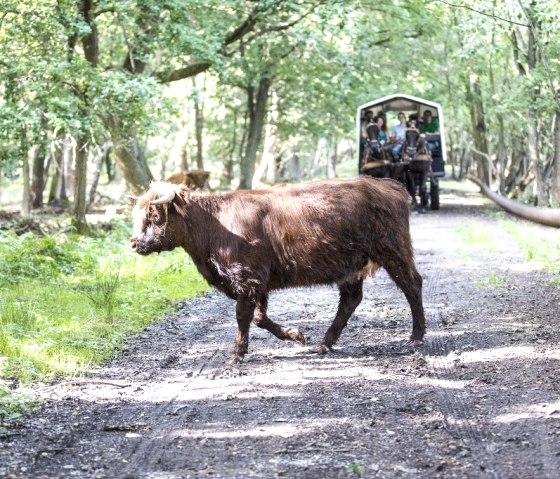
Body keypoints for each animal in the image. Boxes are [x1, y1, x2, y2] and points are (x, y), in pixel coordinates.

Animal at [130, 177, 424, 364]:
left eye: (154, 217)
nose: (133, 243)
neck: (213, 228)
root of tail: (386, 184)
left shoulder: (247, 279)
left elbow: (243, 317)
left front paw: (236, 355)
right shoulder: (257, 282)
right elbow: (259, 318)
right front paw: (295, 335)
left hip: (394, 251)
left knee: (412, 285)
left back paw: (416, 337)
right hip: (351, 265)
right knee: (350, 300)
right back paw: (324, 343)